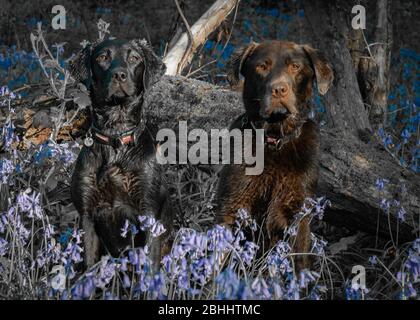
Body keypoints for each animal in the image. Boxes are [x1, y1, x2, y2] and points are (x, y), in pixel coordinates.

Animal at [69, 38, 171, 268]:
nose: (119, 75)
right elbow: (89, 266)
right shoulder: (87, 215)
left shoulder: (148, 211)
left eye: (134, 58)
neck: (115, 134)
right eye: (102, 57)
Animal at [217, 40, 332, 270]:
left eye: (295, 67)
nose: (279, 89)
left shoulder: (297, 216)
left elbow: (298, 265)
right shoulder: (233, 206)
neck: (274, 141)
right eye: (262, 66)